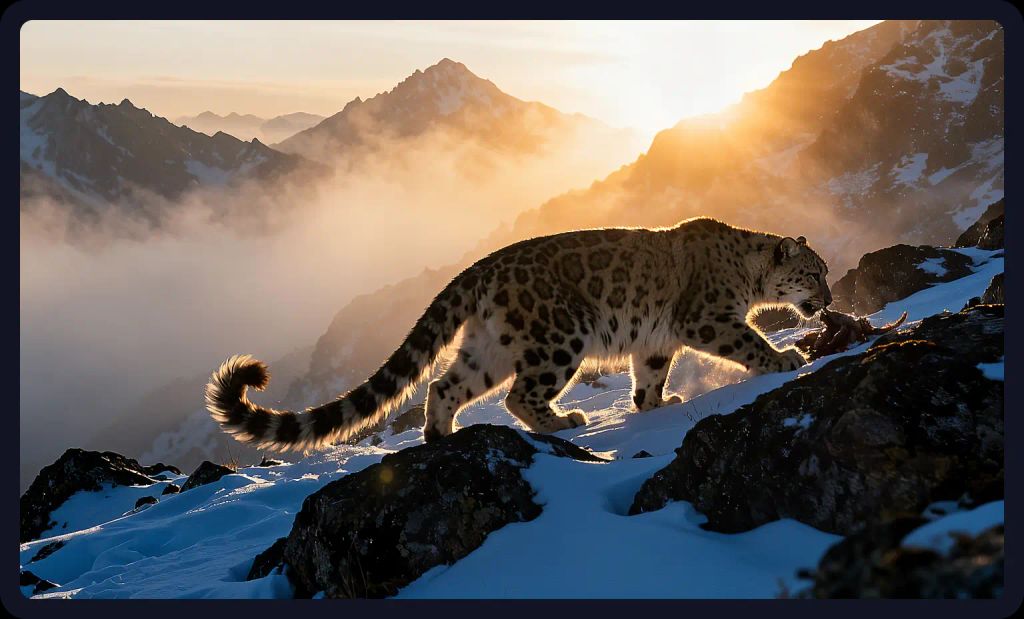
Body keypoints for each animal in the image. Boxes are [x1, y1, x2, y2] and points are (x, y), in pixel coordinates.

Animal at [205, 216, 832, 451]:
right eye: (814, 273)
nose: (828, 300)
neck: (750, 276)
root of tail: (482, 267)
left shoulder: (657, 341)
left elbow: (650, 375)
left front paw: (656, 404)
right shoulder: (705, 317)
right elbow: (747, 341)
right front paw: (786, 358)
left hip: (489, 347)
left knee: (444, 385)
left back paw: (442, 437)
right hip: (559, 337)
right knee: (519, 395)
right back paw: (564, 422)